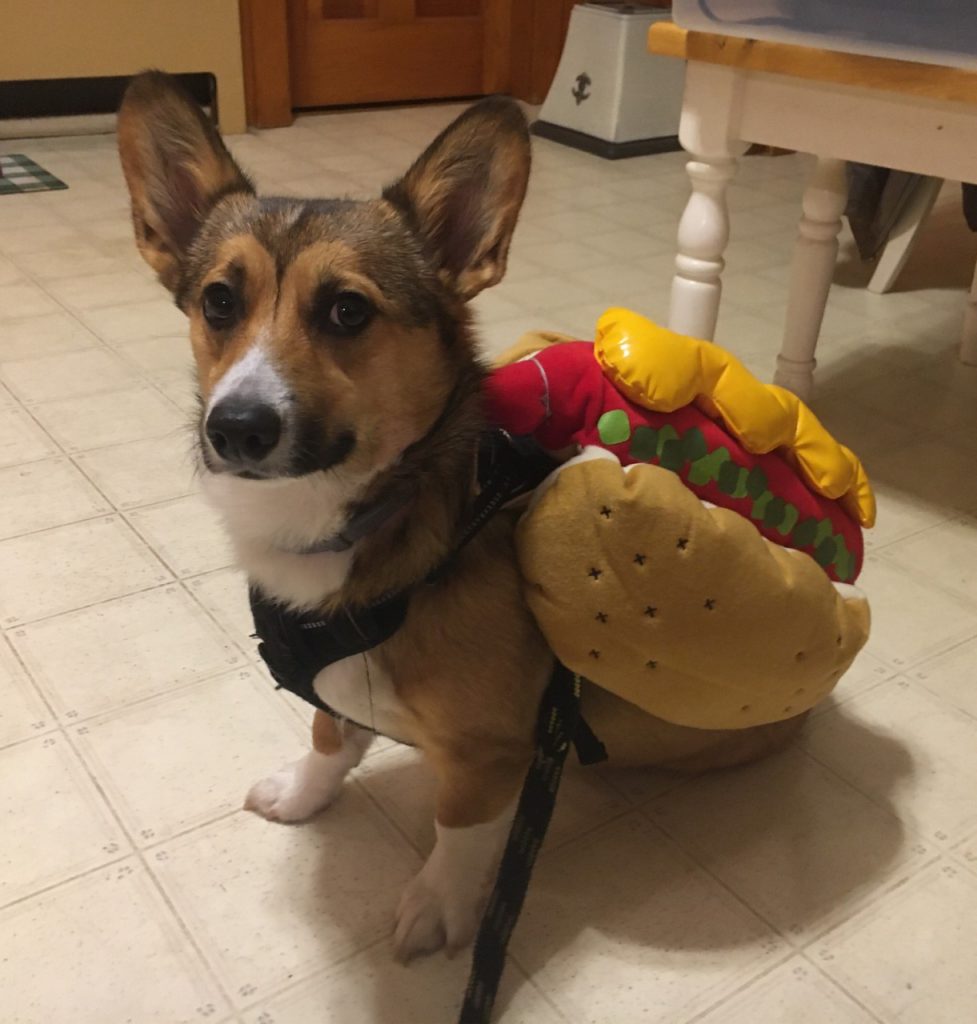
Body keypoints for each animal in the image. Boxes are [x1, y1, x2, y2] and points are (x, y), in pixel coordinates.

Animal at [118, 70, 802, 958]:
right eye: (219, 301)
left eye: (347, 311)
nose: (234, 428)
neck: (372, 521)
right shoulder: (343, 701)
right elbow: (328, 739)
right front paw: (302, 794)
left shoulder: (487, 756)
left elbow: (456, 832)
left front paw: (436, 911)